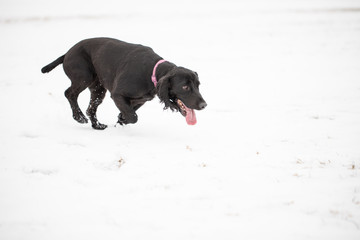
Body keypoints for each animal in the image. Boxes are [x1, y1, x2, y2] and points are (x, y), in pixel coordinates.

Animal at [41, 38, 207, 129]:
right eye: (185, 87)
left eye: (198, 85)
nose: (203, 105)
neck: (152, 71)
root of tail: (67, 53)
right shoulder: (117, 94)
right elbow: (133, 117)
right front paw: (123, 119)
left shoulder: (140, 100)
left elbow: (129, 112)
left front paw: (121, 119)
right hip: (83, 77)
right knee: (69, 93)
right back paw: (79, 117)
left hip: (98, 89)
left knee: (91, 108)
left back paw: (97, 126)